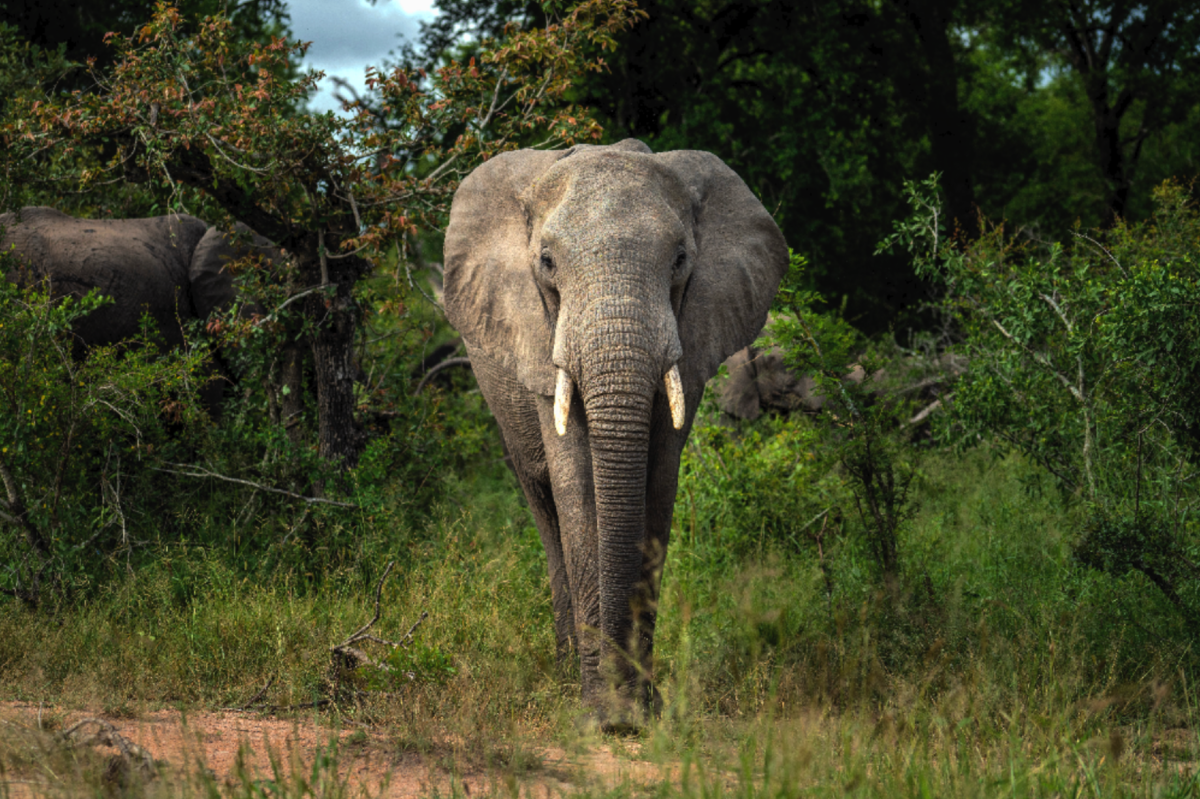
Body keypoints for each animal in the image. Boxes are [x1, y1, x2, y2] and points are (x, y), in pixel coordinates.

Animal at [441, 138, 787, 729]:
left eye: (679, 260)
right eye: (547, 263)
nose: (620, 712)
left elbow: (658, 486)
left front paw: (642, 710)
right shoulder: (538, 338)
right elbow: (577, 487)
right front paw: (598, 712)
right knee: (544, 508)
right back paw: (563, 675)